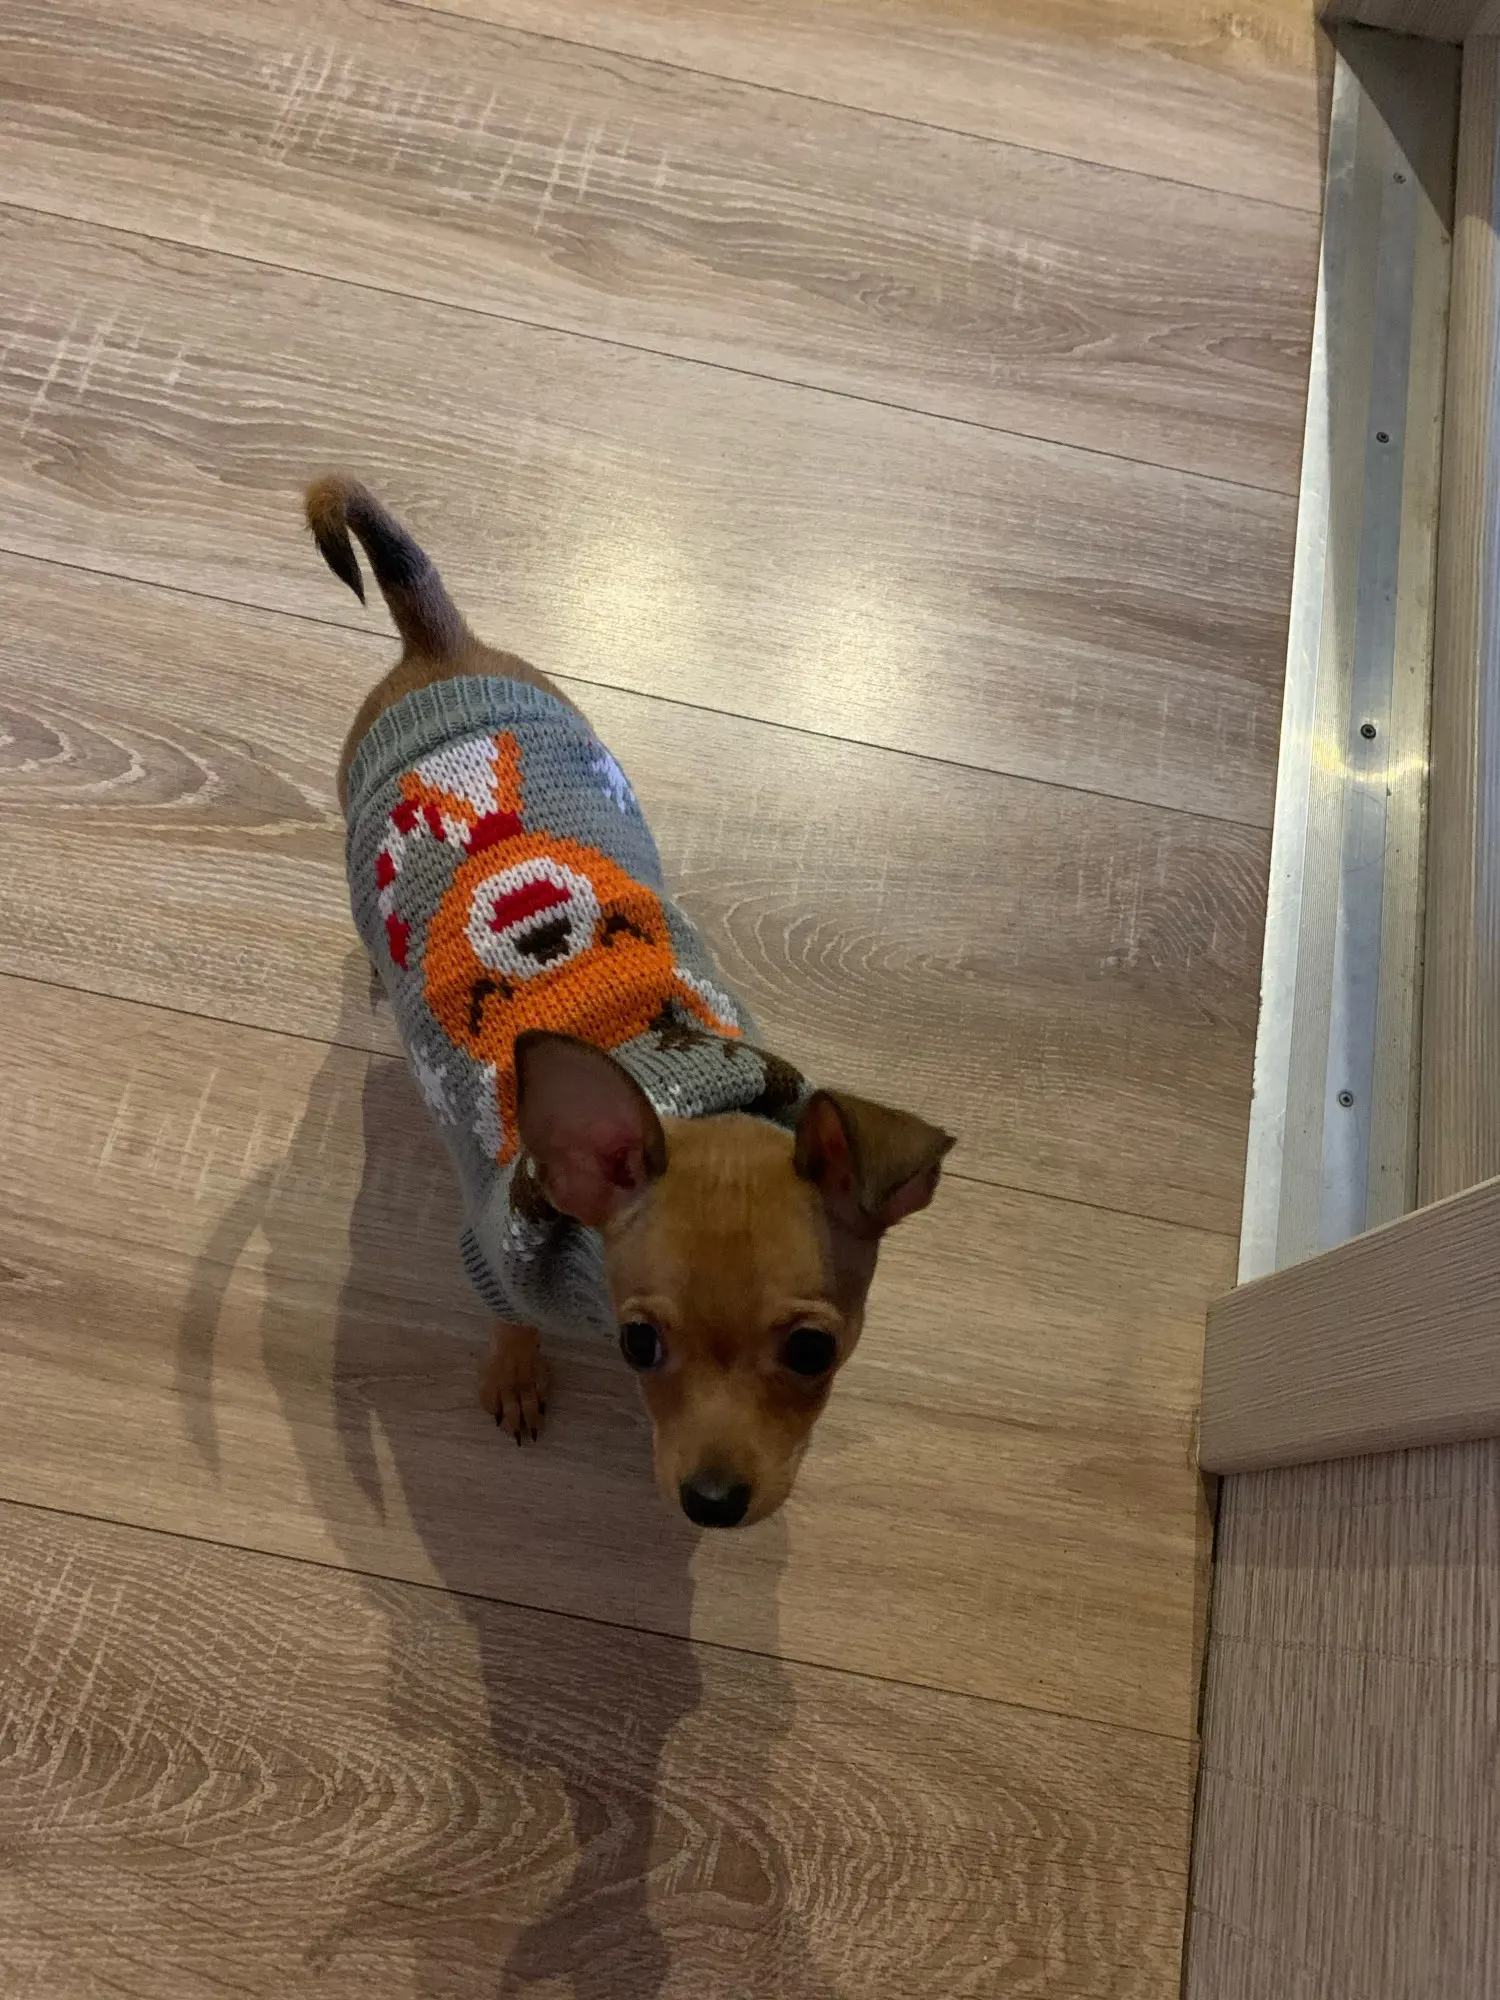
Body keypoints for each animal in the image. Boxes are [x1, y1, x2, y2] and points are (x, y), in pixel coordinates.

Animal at [313, 475, 953, 1528]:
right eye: (637, 1344)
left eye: (814, 1352)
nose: (712, 1502)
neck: (682, 1085)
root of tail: (439, 652)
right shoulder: (494, 1264)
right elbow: (509, 1326)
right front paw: (518, 1375)